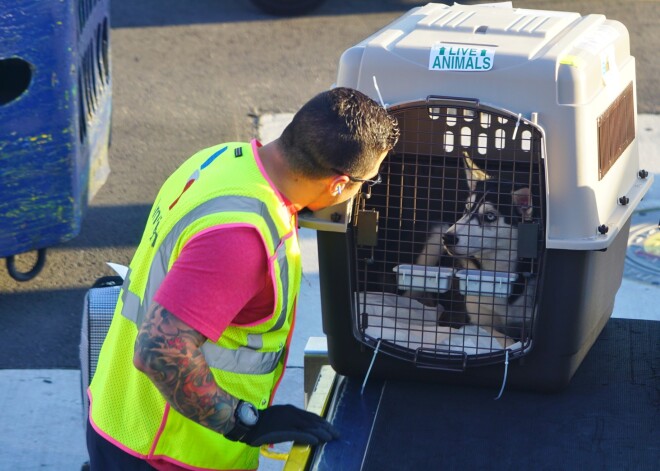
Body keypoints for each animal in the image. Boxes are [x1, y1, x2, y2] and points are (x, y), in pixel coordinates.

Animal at [418, 156, 536, 342]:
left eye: (490, 216)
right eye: (467, 208)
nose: (448, 238)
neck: (497, 272)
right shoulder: (467, 321)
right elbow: (504, 339)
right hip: (434, 240)